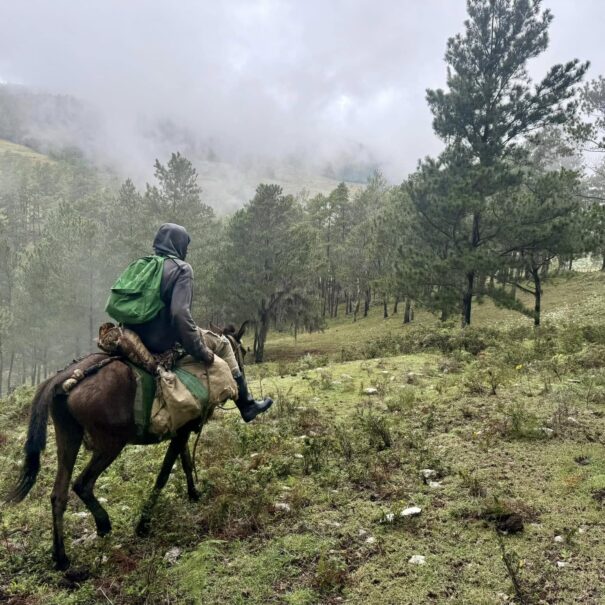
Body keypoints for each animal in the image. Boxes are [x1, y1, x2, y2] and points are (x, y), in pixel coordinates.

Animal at [7, 324, 248, 568]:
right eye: (243, 351)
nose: (240, 375)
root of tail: (65, 377)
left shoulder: (181, 431)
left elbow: (186, 462)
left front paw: (193, 494)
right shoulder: (181, 432)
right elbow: (164, 475)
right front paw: (143, 523)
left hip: (68, 438)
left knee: (59, 494)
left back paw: (61, 557)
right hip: (110, 445)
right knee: (82, 484)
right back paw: (103, 524)